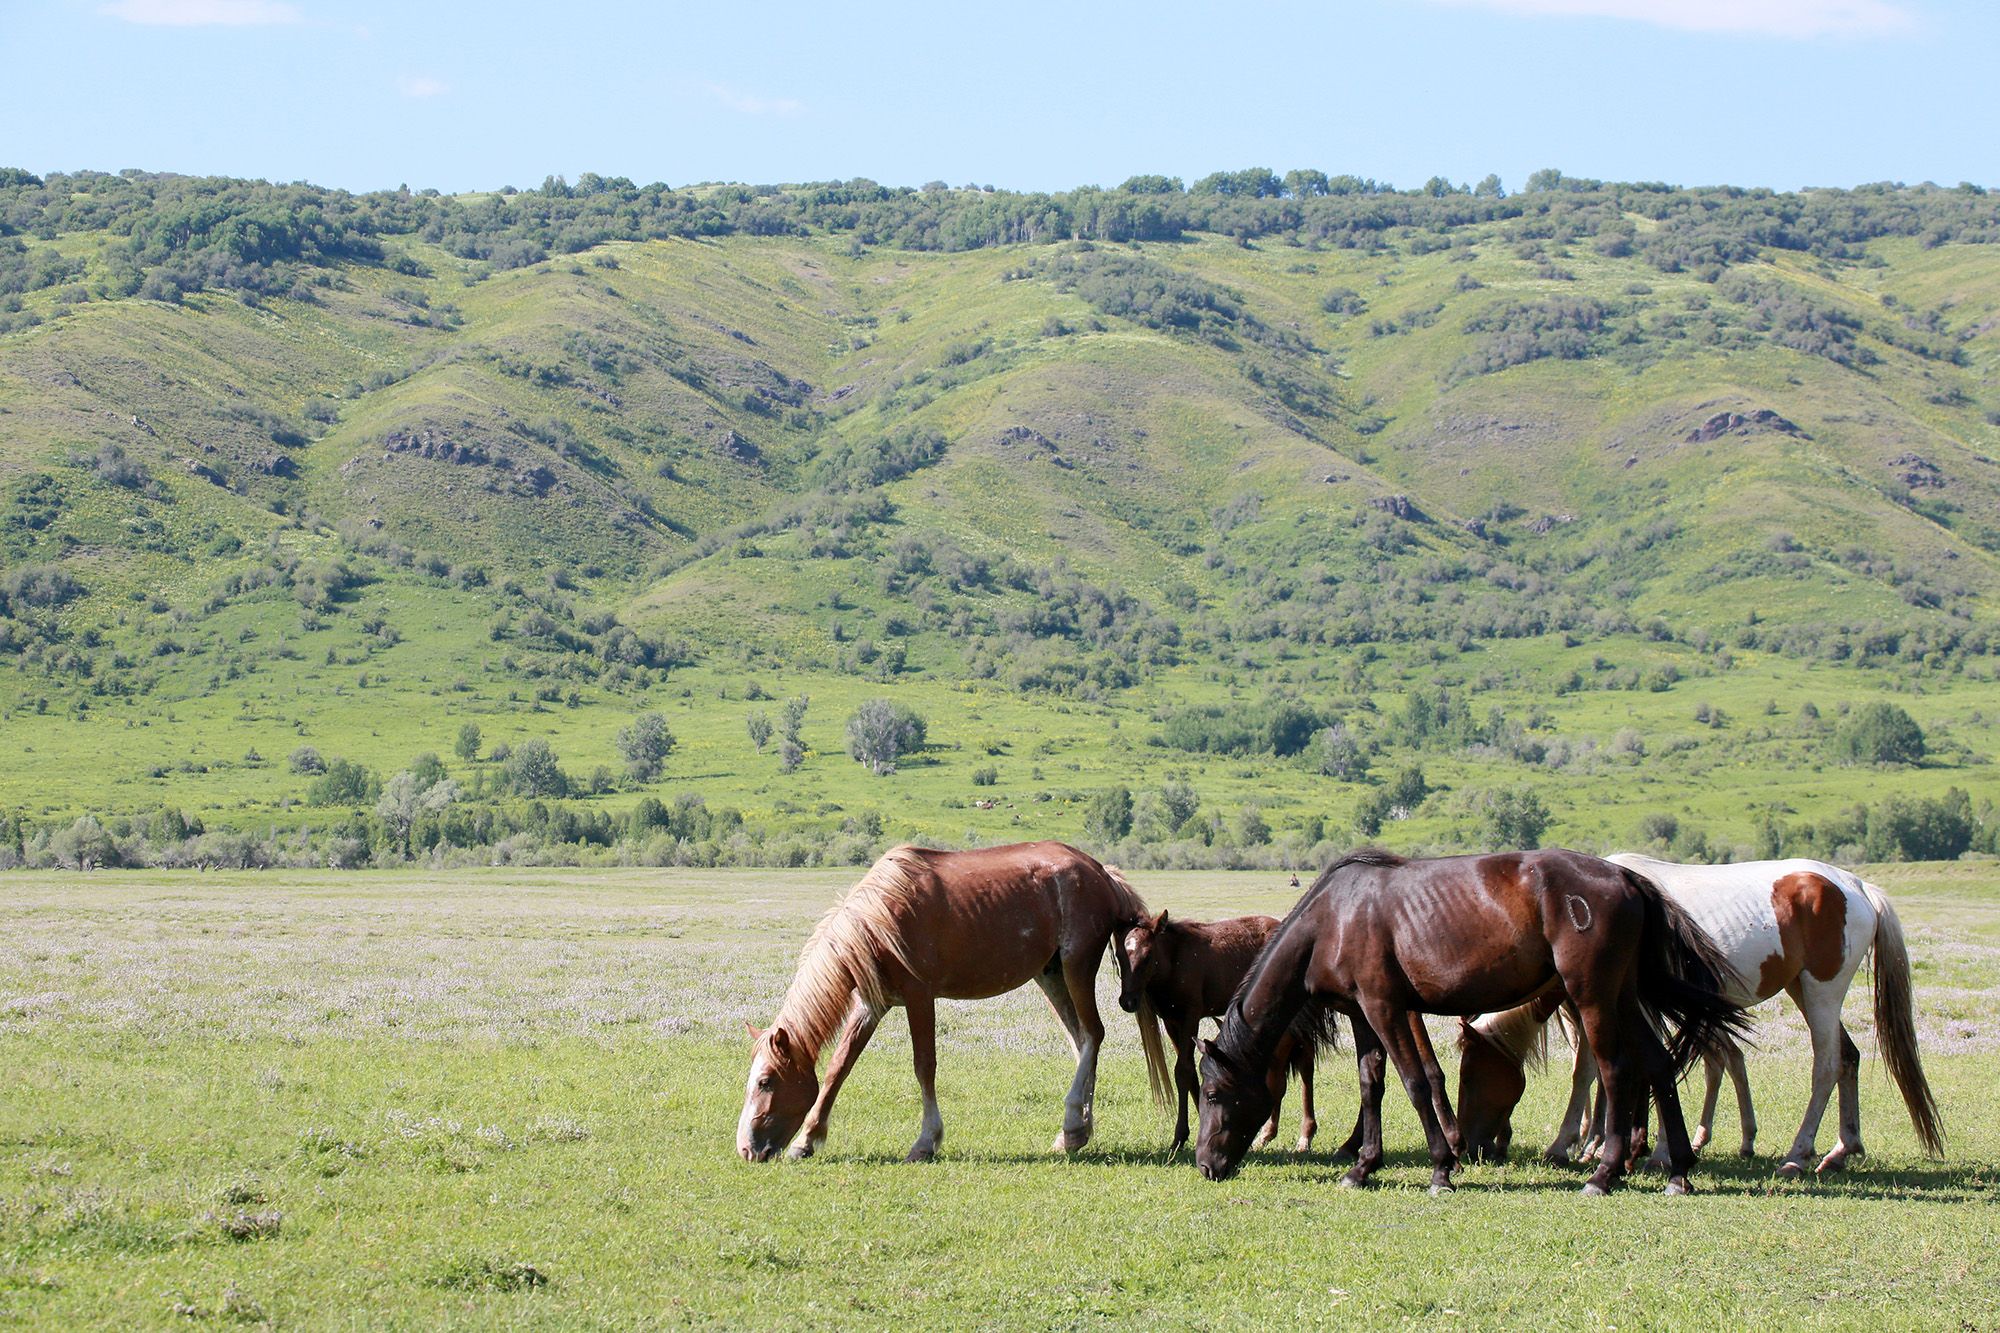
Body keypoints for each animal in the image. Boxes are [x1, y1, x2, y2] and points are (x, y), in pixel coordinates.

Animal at [736, 840, 1168, 1160]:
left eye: (765, 1081)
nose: (746, 1149)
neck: (880, 919)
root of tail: (1101, 872)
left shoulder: (919, 996)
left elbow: (924, 1066)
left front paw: (926, 1142)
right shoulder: (870, 1005)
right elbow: (838, 1068)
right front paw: (806, 1140)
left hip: (1077, 966)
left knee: (1093, 1035)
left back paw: (1073, 1126)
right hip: (1051, 975)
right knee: (1081, 1042)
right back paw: (1077, 1131)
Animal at [1104, 904, 1352, 1152]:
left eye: (1147, 956)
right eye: (1119, 955)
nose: (1128, 1001)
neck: (1175, 961)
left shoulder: (1190, 1017)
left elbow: (1183, 1071)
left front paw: (1181, 1136)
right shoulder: (1171, 1021)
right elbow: (1189, 1072)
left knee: (1304, 1065)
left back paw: (1304, 1135)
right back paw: (1268, 1133)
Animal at [1184, 844, 1752, 1184]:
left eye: (1212, 1094)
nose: (1205, 1164)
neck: (1333, 919)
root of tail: (1625, 878)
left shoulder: (1386, 1008)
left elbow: (1415, 1081)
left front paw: (1441, 1167)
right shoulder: (1362, 1014)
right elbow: (1372, 1085)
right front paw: (1363, 1166)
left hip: (1594, 997)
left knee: (1616, 1072)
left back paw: (1605, 1174)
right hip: (1623, 997)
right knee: (1657, 1064)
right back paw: (1678, 1171)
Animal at [1456, 852, 1936, 1176]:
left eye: (1473, 1073)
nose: (1479, 1148)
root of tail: (1856, 886)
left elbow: (1623, 1071)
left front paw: (1631, 1149)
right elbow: (1599, 1072)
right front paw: (1605, 1144)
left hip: (1822, 991)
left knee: (1827, 1065)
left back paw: (1797, 1156)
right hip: (1802, 988)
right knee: (1849, 1058)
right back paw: (1841, 1149)